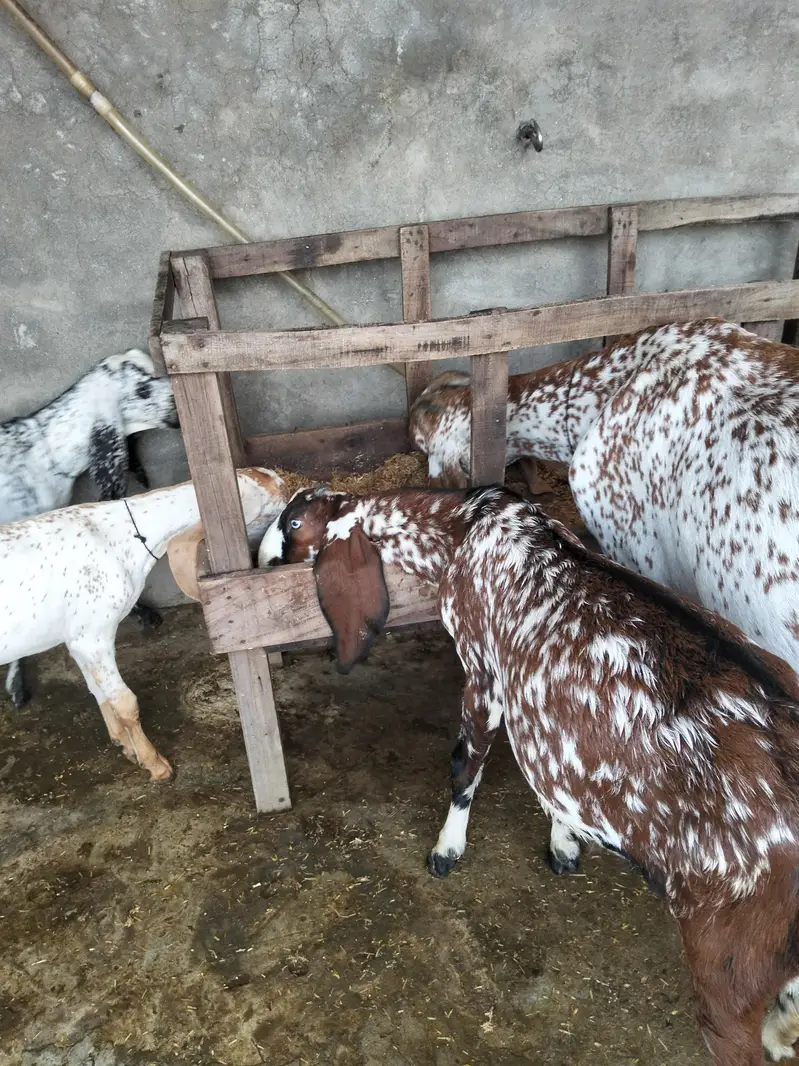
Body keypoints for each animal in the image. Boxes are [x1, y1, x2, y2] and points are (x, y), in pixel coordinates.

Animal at [0, 467, 287, 780]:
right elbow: (125, 702)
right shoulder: (94, 637)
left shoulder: (78, 635)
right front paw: (155, 764)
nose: (289, 493)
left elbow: (98, 689)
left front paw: (124, 744)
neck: (119, 536)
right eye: (272, 496)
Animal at [261, 484, 799, 1064]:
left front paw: (447, 848)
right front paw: (563, 843)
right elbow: (556, 786)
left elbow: (465, 766)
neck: (466, 523)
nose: (262, 559)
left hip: (727, 968)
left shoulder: (483, 671)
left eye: (293, 523)